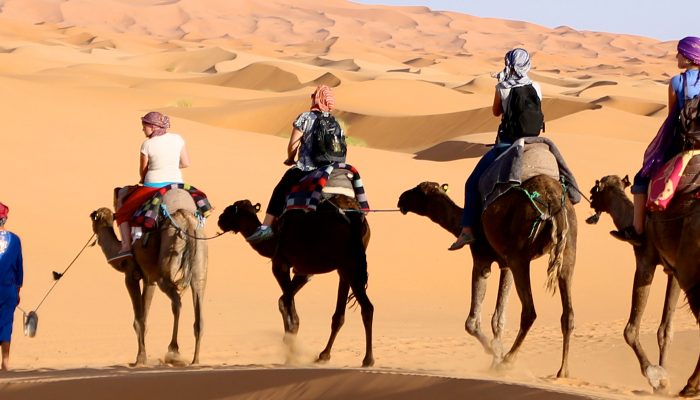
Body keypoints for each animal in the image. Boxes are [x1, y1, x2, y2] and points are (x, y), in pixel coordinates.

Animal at [89, 190, 208, 366]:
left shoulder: (131, 275)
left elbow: (139, 320)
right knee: (198, 311)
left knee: (177, 301)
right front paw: (142, 356)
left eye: (95, 218)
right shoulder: (149, 278)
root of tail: (187, 220)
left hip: (167, 264)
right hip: (199, 262)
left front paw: (140, 359)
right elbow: (145, 316)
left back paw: (174, 349)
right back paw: (195, 360)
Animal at [217, 195, 374, 368]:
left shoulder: (280, 265)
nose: (220, 219)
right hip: (345, 268)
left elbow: (285, 301)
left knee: (367, 307)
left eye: (233, 209)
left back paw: (368, 359)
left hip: (350, 265)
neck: (271, 240)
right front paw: (290, 343)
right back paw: (324, 355)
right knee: (340, 315)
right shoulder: (304, 272)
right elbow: (284, 299)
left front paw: (290, 348)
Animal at [396, 177, 576, 376]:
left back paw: (508, 360)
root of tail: (553, 201)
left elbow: (472, 322)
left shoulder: (482, 259)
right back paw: (562, 371)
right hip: (567, 250)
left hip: (520, 257)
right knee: (568, 313)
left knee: (530, 312)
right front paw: (495, 356)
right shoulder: (506, 264)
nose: (401, 198)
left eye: (418, 191)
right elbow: (498, 319)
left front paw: (495, 352)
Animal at [588, 176, 700, 396]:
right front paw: (663, 381)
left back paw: (691, 386)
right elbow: (665, 330)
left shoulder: (645, 259)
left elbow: (630, 329)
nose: (589, 199)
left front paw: (655, 377)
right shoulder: (673, 271)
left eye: (596, 189)